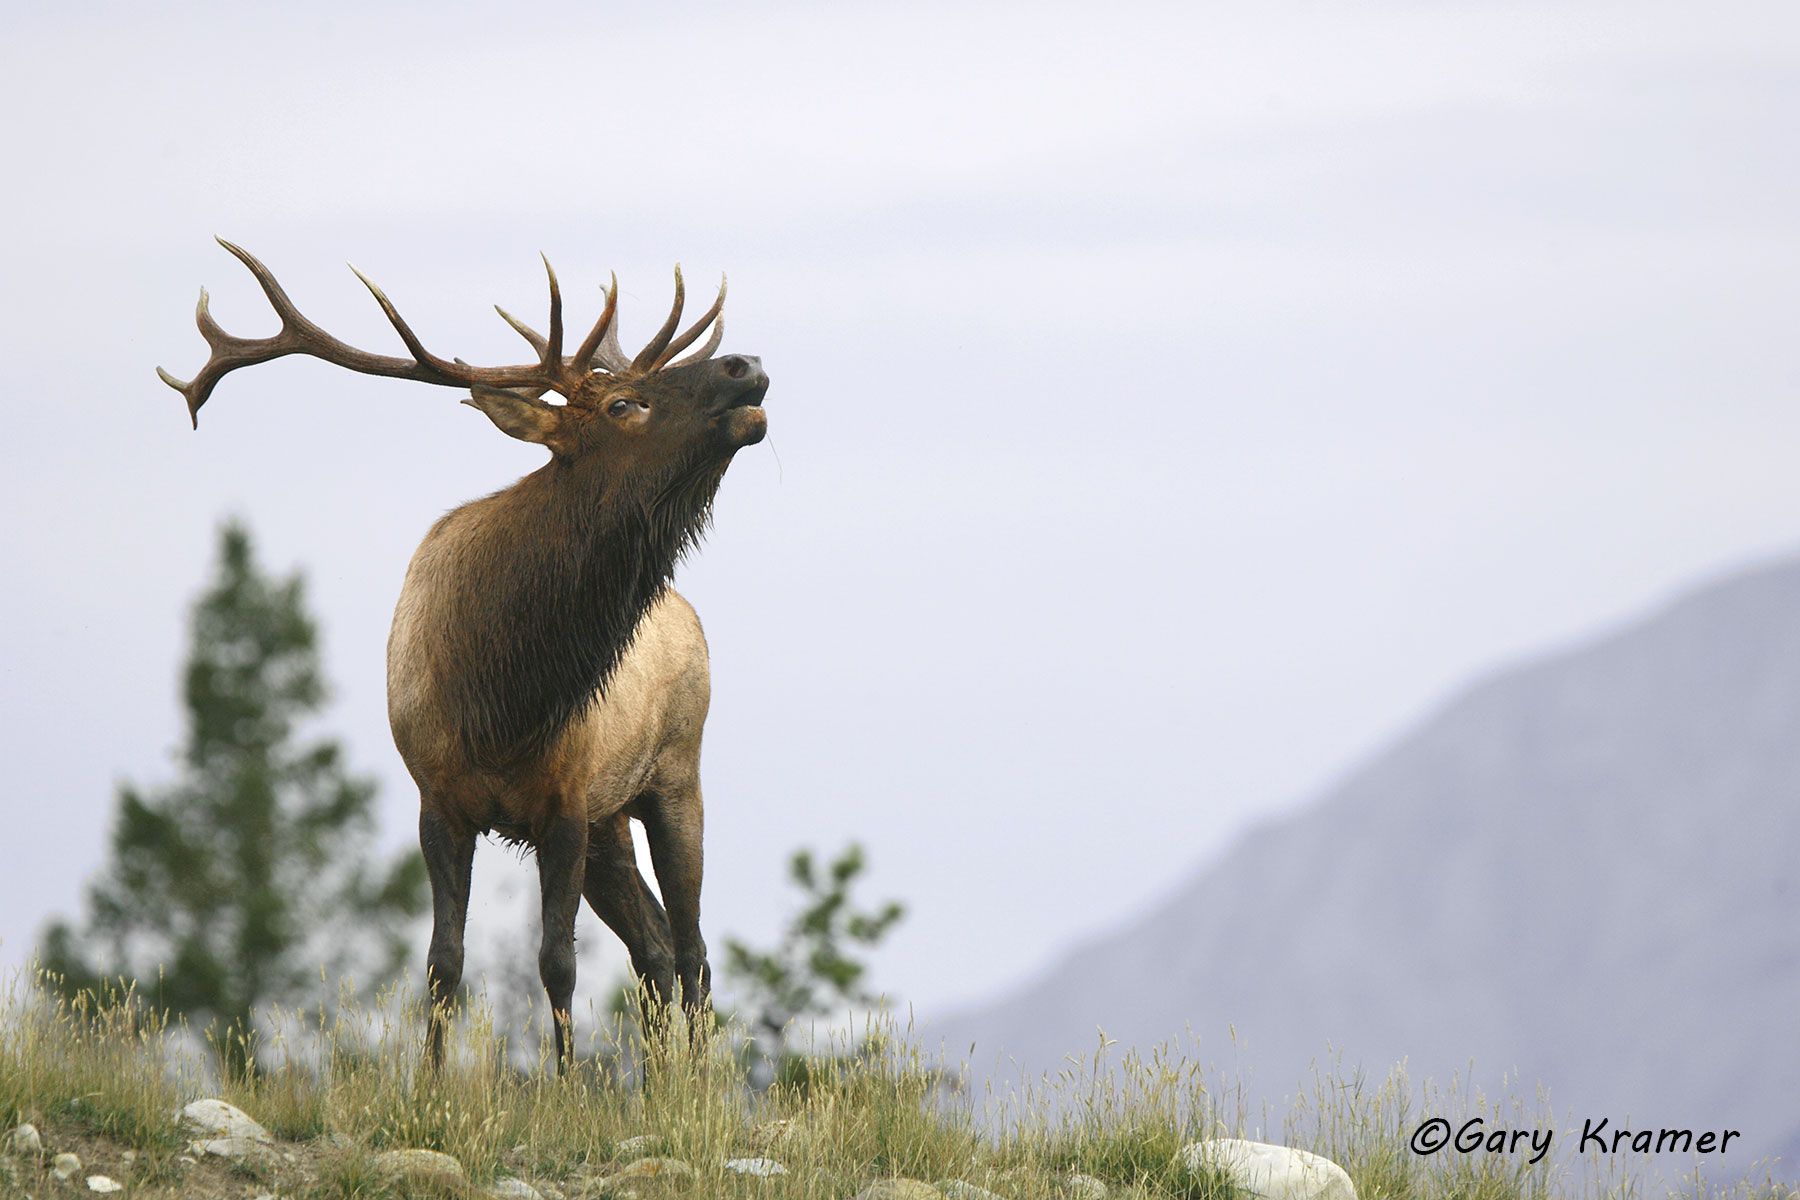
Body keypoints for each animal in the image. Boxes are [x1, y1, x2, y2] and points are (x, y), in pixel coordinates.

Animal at [158, 239, 769, 1069]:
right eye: (623, 405)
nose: (746, 364)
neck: (502, 701)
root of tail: (687, 613)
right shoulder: (439, 799)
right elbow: (443, 962)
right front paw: (431, 1082)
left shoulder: (565, 805)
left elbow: (556, 962)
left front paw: (566, 1083)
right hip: (615, 819)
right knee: (657, 950)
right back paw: (661, 1081)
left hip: (675, 774)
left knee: (694, 949)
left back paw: (697, 1086)